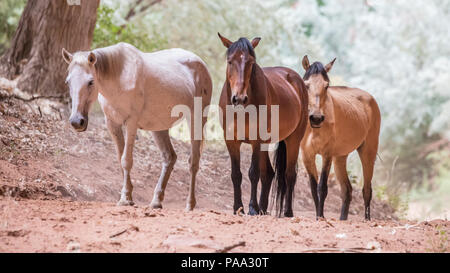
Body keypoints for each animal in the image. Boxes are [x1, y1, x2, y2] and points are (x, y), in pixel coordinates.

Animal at [62, 42, 214, 209]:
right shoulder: (112, 124)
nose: (77, 121)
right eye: (68, 82)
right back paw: (156, 201)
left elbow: (126, 160)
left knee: (193, 162)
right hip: (159, 127)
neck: (119, 78)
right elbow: (120, 159)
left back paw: (189, 205)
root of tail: (200, 62)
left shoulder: (131, 123)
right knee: (169, 157)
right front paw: (128, 195)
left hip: (196, 119)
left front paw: (125, 198)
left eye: (90, 82)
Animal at [218, 33, 310, 217]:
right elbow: (236, 174)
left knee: (289, 174)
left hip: (293, 140)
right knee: (269, 173)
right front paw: (238, 207)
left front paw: (252, 207)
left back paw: (287, 212)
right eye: (230, 61)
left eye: (251, 62)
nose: (239, 98)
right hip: (266, 144)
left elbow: (253, 173)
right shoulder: (231, 141)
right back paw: (263, 208)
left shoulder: (256, 140)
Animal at [300, 55, 382, 219]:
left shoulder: (327, 154)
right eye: (306, 85)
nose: (316, 118)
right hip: (340, 157)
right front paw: (318, 216)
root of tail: (371, 99)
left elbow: (322, 188)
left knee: (367, 190)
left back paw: (367, 219)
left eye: (326, 86)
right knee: (347, 190)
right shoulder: (307, 155)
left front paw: (321, 216)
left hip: (367, 152)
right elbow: (313, 187)